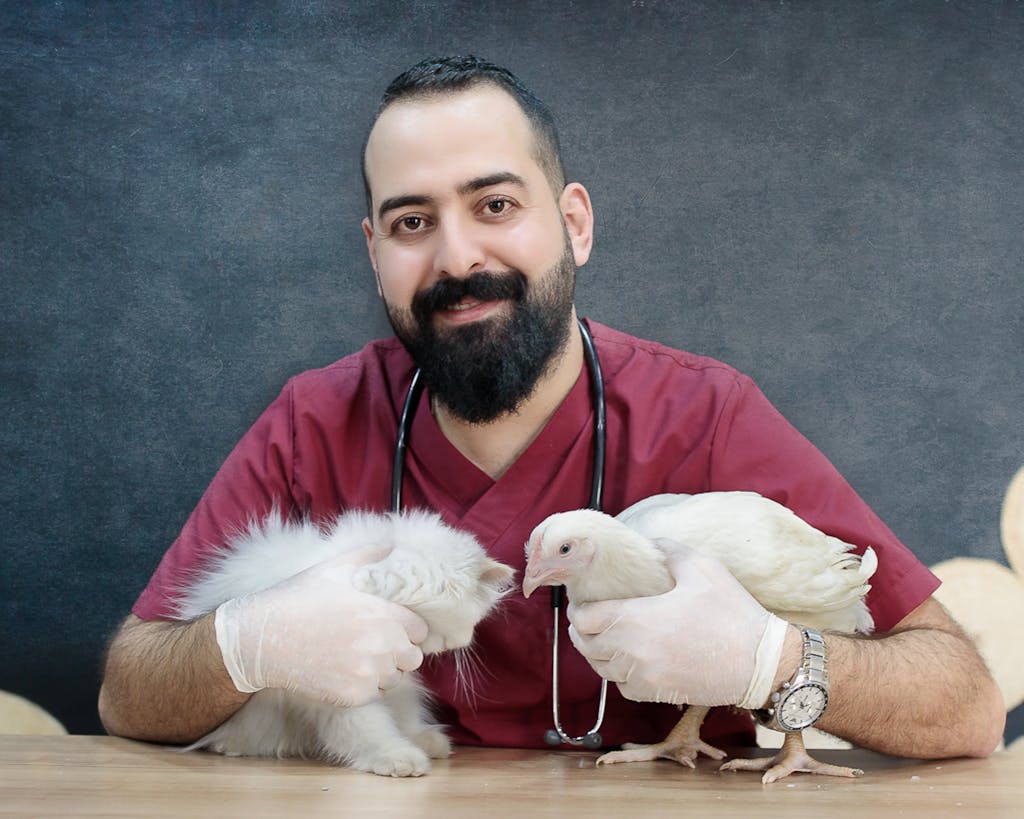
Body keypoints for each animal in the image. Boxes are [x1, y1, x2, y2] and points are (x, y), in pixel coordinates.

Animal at [176, 507, 516, 778]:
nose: (454, 646)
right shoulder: (343, 695)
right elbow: (368, 729)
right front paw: (398, 759)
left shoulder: (395, 680)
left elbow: (403, 715)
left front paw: (421, 740)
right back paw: (230, 745)